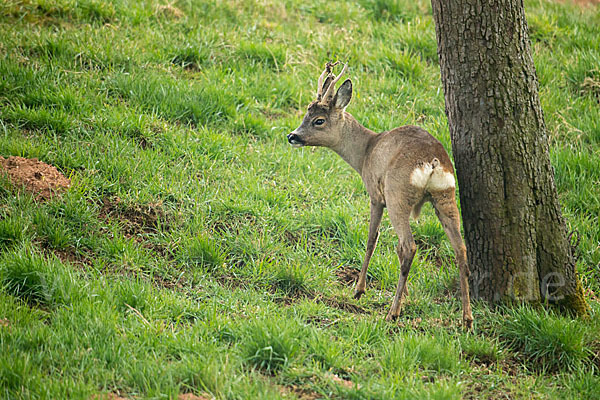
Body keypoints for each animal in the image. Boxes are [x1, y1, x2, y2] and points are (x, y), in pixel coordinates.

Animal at [286, 62, 474, 328]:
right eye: (306, 115)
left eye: (318, 120)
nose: (292, 136)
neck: (366, 151)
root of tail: (433, 162)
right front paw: (405, 294)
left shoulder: (375, 195)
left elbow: (371, 240)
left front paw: (359, 289)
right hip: (445, 196)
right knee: (460, 249)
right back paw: (466, 319)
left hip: (397, 196)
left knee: (408, 246)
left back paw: (392, 313)